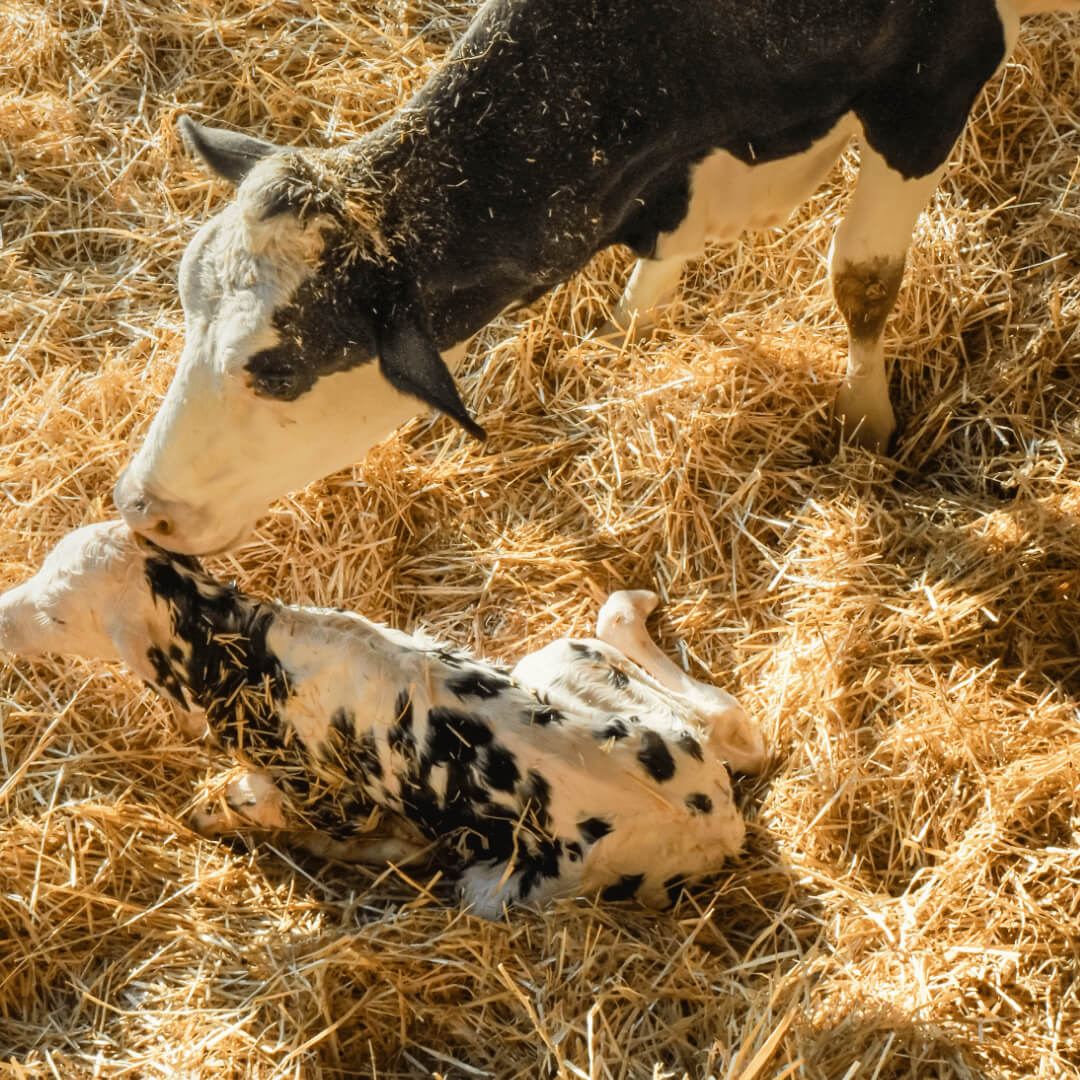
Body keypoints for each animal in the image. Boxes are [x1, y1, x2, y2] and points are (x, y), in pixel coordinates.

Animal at [0, 521, 765, 917]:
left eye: (58, 613)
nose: (5, 615)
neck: (247, 651)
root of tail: (718, 820)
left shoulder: (316, 794)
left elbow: (239, 806)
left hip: (500, 887)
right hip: (561, 666)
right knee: (733, 725)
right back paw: (631, 606)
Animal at [112, 0, 1080, 555]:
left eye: (276, 370)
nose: (136, 508)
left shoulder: (933, 80)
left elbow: (863, 277)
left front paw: (867, 424)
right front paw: (629, 333)